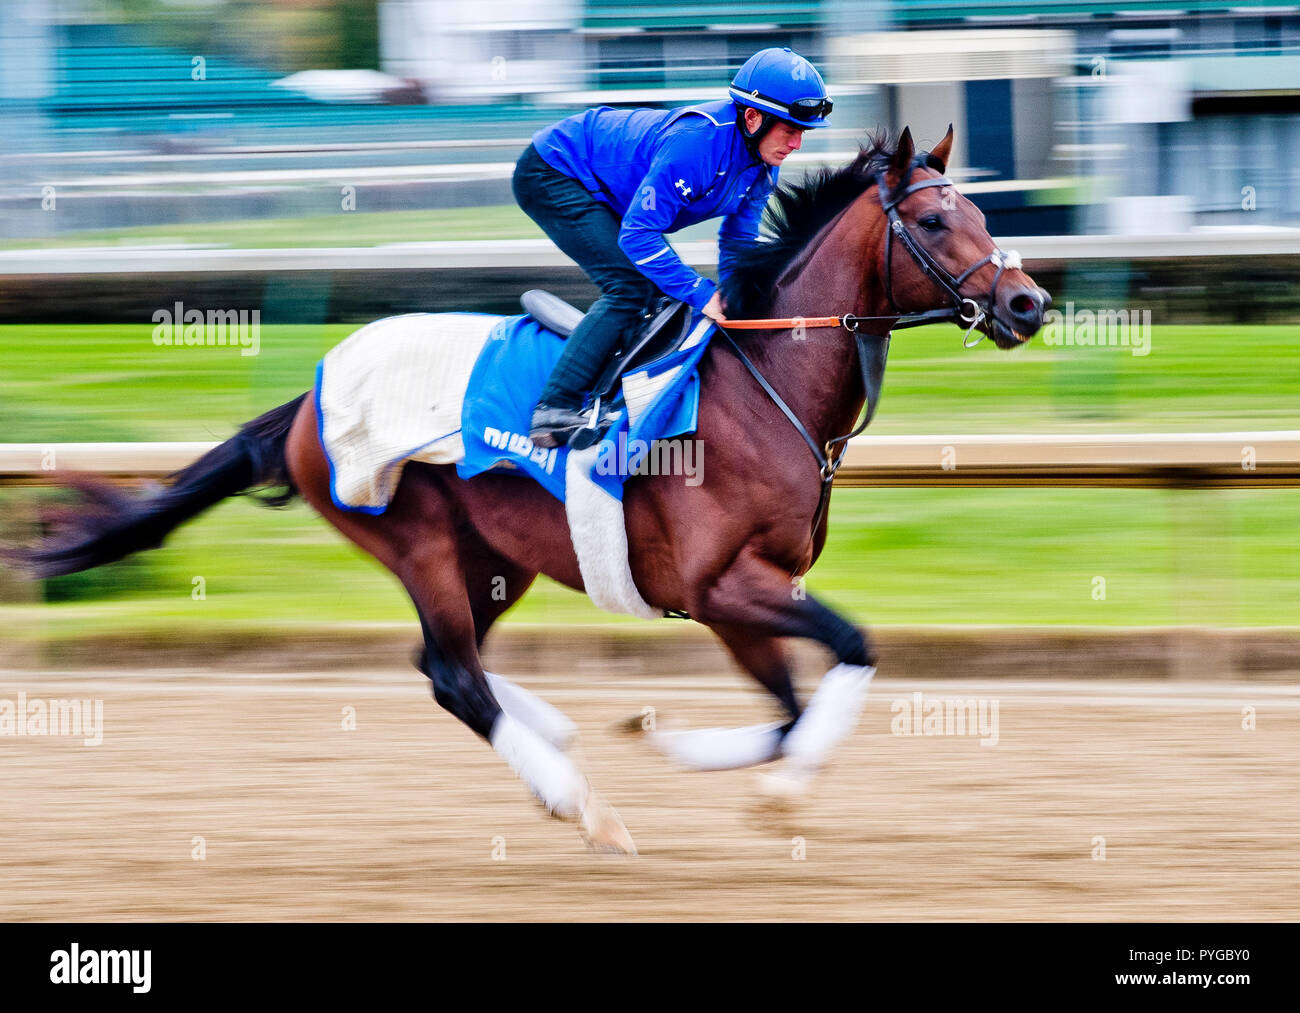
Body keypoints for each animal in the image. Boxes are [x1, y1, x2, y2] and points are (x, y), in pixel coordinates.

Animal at [7, 126, 1045, 858]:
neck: (762, 383)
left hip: (494, 559)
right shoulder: (722, 584)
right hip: (418, 538)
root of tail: (308, 395)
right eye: (938, 221)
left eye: (984, 212)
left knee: (442, 661)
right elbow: (852, 648)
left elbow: (791, 707)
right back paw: (583, 805)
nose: (1028, 303)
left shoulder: (738, 598)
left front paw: (681, 746)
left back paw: (559, 740)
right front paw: (773, 788)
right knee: (454, 674)